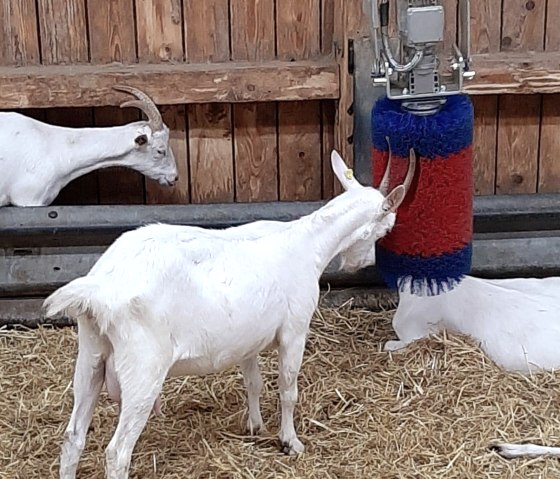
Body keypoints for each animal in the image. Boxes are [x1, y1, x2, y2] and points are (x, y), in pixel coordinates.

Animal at [44, 149, 416, 479]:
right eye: (387, 227)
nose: (363, 263)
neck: (308, 242)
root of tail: (101, 288)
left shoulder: (248, 338)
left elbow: (253, 382)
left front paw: (255, 426)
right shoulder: (295, 329)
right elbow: (288, 389)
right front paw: (290, 442)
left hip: (90, 355)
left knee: (73, 437)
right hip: (143, 369)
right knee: (117, 453)